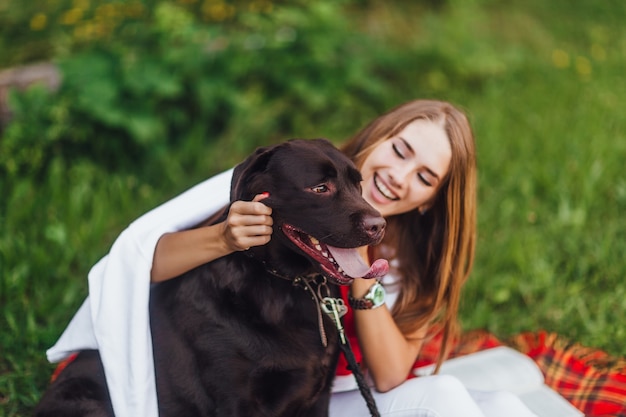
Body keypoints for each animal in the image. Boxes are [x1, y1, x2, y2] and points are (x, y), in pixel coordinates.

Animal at [34, 139, 388, 416]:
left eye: (357, 185)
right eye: (319, 188)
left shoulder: (317, 396)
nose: (379, 225)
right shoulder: (237, 400)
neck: (289, 284)